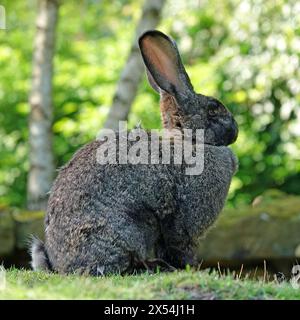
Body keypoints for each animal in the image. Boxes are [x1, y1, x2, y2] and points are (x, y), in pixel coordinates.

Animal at [29, 30, 237, 276]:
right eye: (213, 109)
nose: (235, 130)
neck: (189, 139)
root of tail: (60, 265)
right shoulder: (184, 222)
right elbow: (180, 246)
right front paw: (191, 268)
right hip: (129, 230)